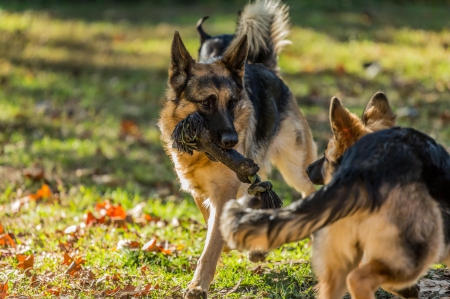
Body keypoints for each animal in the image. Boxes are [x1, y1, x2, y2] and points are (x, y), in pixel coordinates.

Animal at [158, 1, 316, 298]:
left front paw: (198, 285)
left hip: (297, 169)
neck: (203, 154)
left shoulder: (223, 191)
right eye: (206, 103)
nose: (231, 141)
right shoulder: (200, 191)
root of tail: (266, 68)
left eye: (232, 102)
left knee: (310, 190)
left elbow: (211, 246)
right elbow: (211, 223)